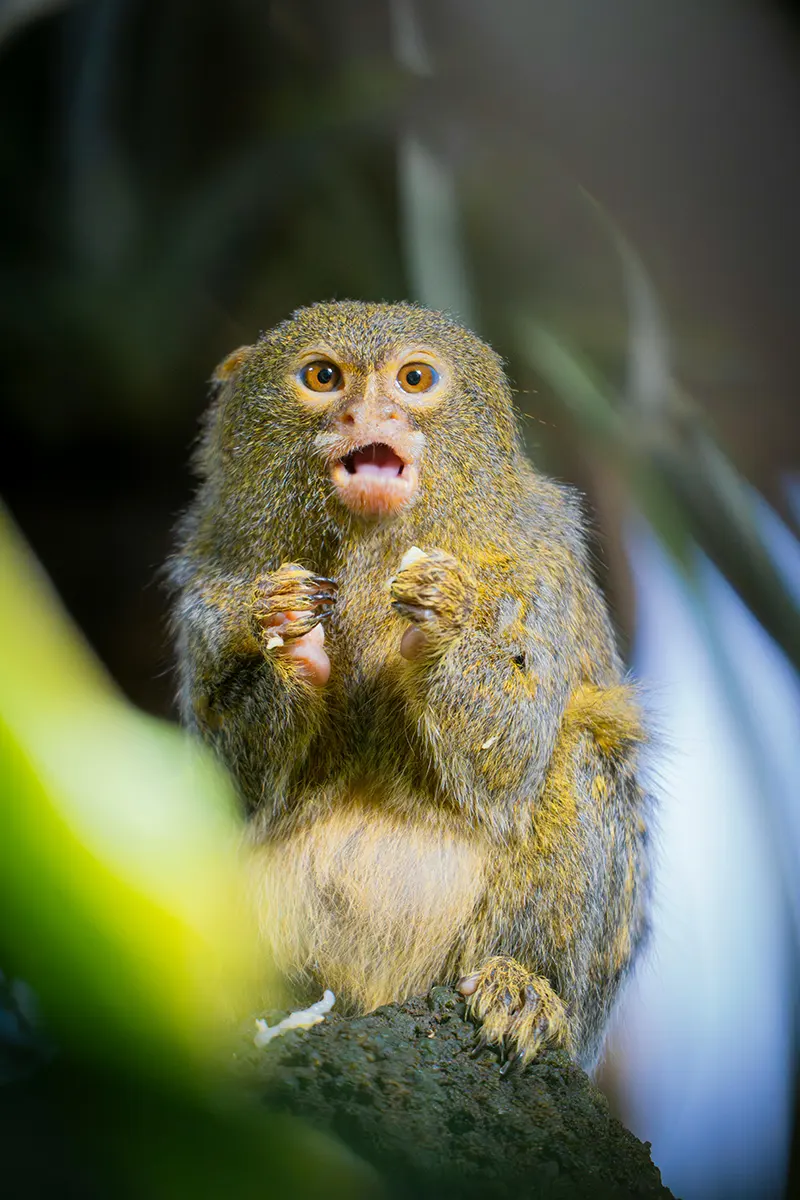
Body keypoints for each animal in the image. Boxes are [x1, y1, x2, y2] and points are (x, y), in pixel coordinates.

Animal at [168, 300, 652, 1072]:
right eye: (323, 378)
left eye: (414, 379)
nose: (369, 414)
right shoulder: (211, 589)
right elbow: (230, 778)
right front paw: (291, 641)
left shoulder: (541, 571)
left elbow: (513, 754)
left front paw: (442, 620)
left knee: (579, 761)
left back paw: (525, 987)